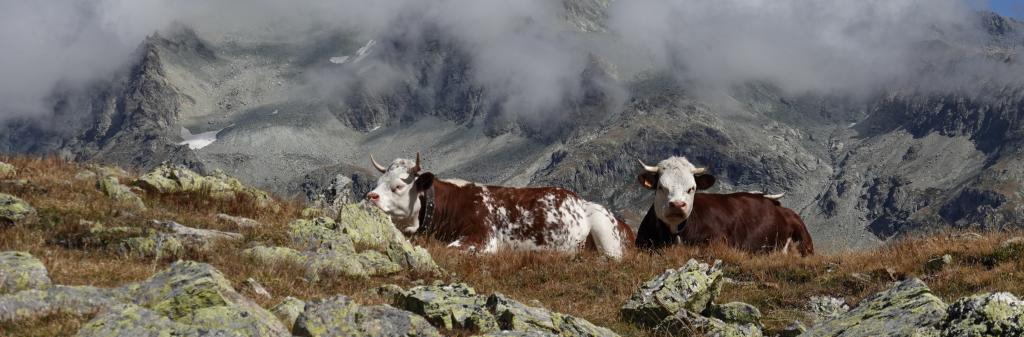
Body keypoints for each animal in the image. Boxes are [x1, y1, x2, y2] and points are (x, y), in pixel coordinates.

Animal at [360, 153, 630, 258]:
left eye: (398, 186)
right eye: (378, 182)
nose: (370, 196)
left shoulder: (484, 237)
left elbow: (450, 249)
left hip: (604, 230)